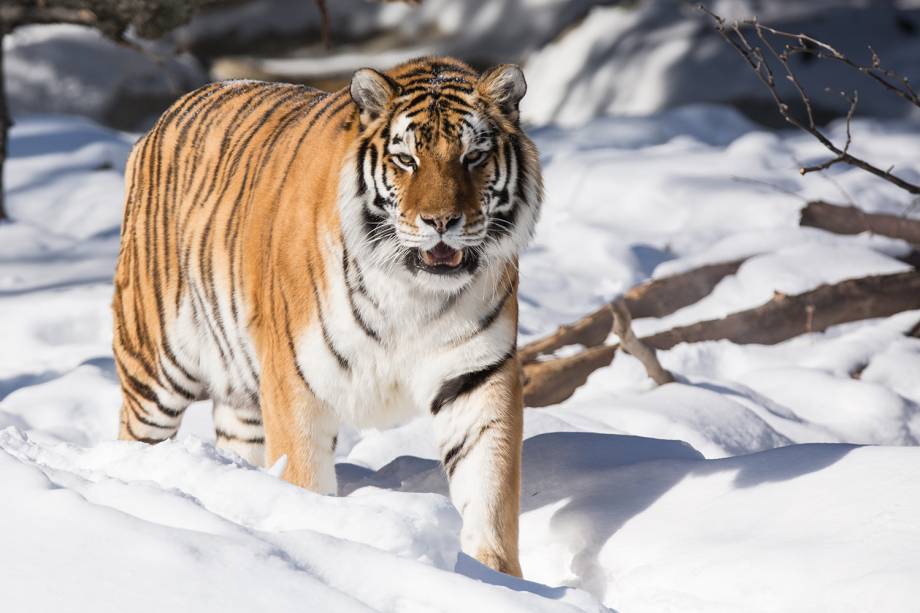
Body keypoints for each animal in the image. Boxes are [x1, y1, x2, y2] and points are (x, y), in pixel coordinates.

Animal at [115, 56, 548, 572]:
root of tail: (167, 114)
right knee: (134, 432)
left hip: (241, 396)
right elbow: (306, 477)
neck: (412, 292)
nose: (441, 222)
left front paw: (495, 576)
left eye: (473, 157)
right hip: (155, 369)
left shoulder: (477, 375)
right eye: (406, 160)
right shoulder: (296, 382)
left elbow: (489, 491)